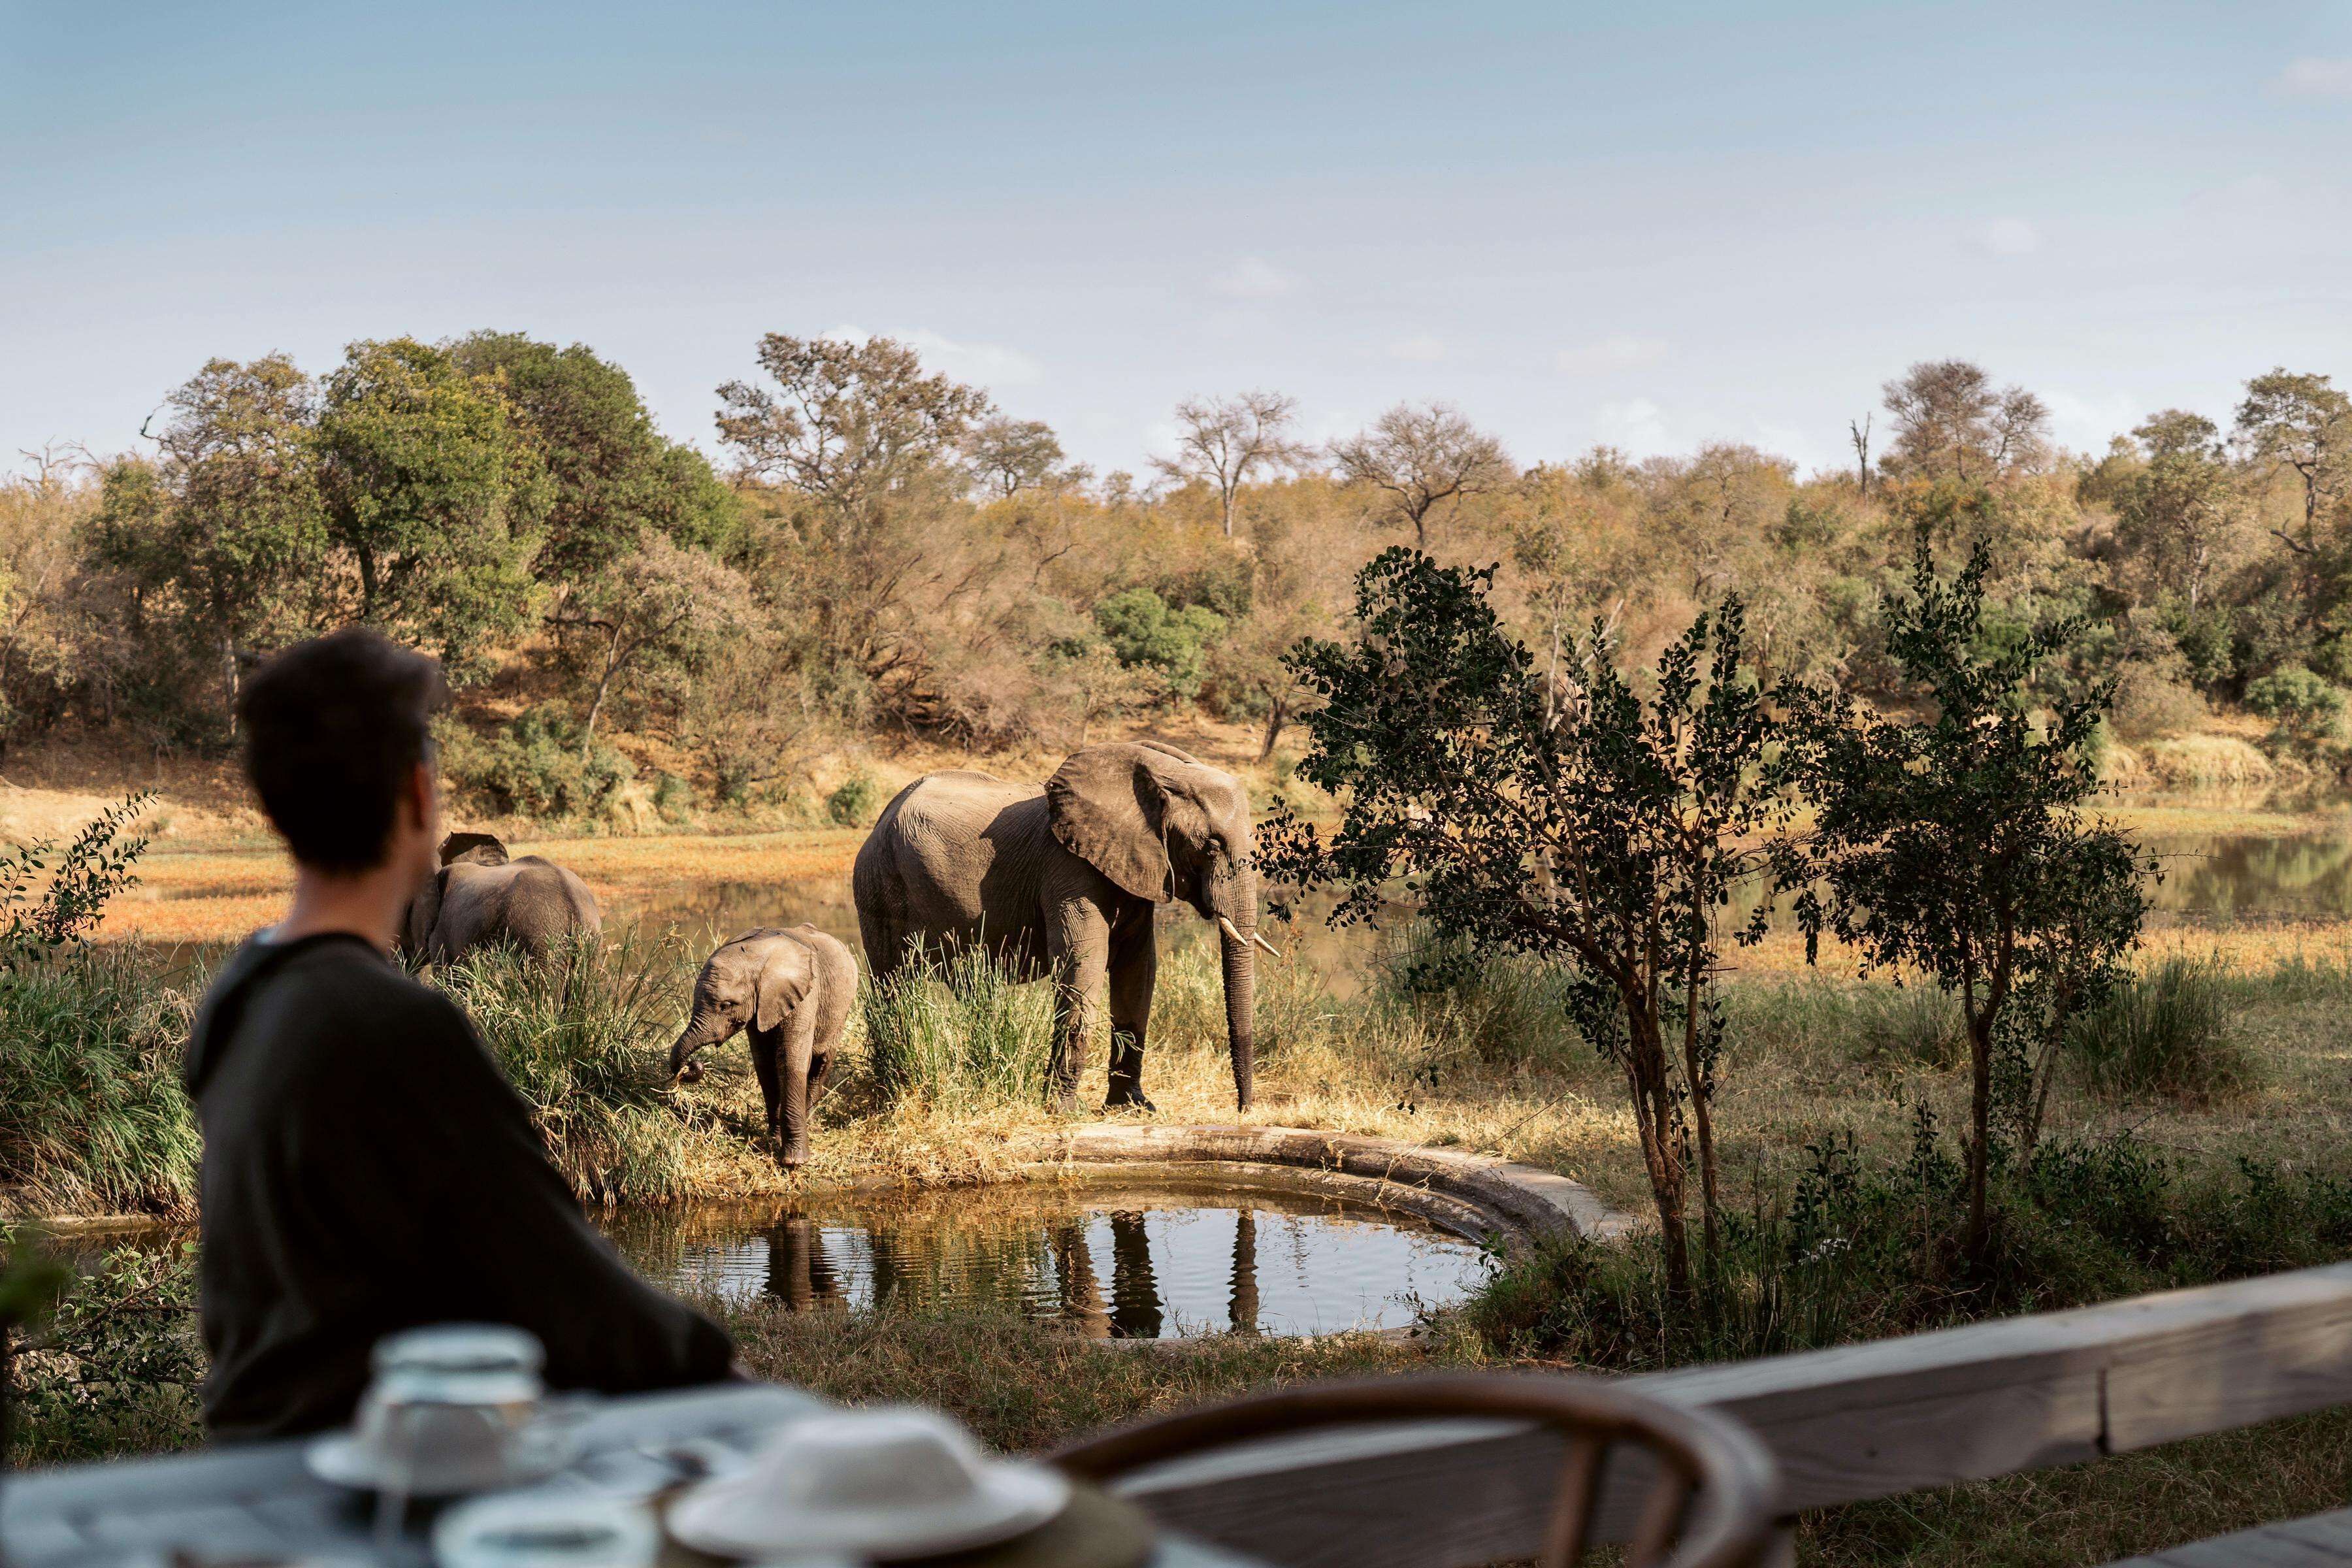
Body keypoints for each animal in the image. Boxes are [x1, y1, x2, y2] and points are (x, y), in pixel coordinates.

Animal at [666, 925, 858, 1170]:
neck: (756, 954)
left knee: (821, 1064)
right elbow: (765, 1065)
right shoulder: (759, 1006)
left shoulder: (805, 997)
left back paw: (810, 1124)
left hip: (841, 1009)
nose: (692, 1065)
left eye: (726, 1005)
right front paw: (774, 1140)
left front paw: (794, 1162)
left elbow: (790, 1061)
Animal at [850, 740, 1278, 1113]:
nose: (1244, 1109)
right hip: (878, 880)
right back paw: (894, 1087)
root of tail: (882, 817)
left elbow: (1139, 970)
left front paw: (1132, 1108)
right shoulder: (1068, 867)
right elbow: (1083, 962)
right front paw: (1064, 1111)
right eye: (1211, 845)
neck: (1159, 775)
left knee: (973, 988)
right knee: (893, 984)